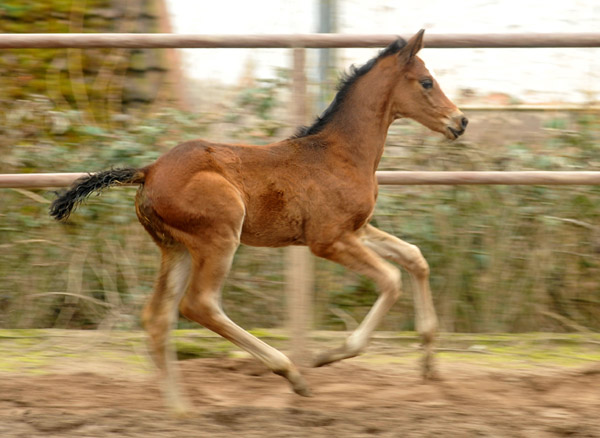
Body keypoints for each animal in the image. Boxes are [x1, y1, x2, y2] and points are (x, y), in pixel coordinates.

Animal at [50, 29, 468, 412]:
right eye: (426, 81)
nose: (460, 121)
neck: (341, 153)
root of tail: (148, 170)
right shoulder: (328, 240)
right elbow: (391, 279)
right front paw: (328, 356)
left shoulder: (357, 229)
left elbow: (414, 257)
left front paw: (429, 364)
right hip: (218, 237)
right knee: (199, 305)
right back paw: (291, 374)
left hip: (176, 248)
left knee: (157, 316)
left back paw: (180, 410)